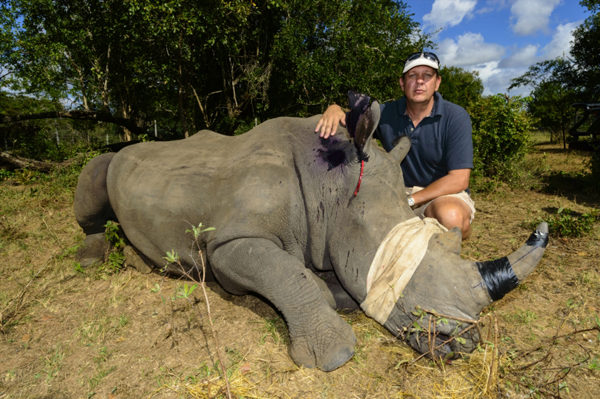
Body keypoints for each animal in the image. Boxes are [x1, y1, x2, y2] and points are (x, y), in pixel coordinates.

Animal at [72, 99, 548, 372]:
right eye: (402, 274)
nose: (464, 345)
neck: (331, 187)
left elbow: (316, 278)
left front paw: (332, 291)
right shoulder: (229, 242)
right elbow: (285, 273)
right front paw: (332, 355)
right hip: (113, 159)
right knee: (95, 174)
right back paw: (91, 260)